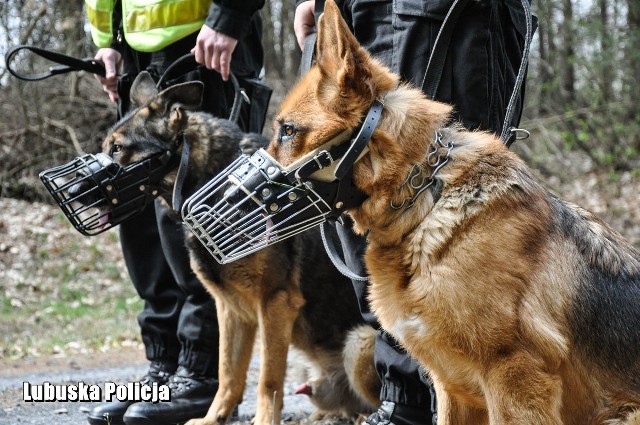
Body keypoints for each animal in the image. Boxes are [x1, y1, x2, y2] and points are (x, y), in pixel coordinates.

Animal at [97, 71, 382, 422]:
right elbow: (228, 373)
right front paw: (213, 418)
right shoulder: (231, 308)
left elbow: (268, 379)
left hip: (359, 342)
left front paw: (263, 420)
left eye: (118, 149)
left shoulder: (275, 303)